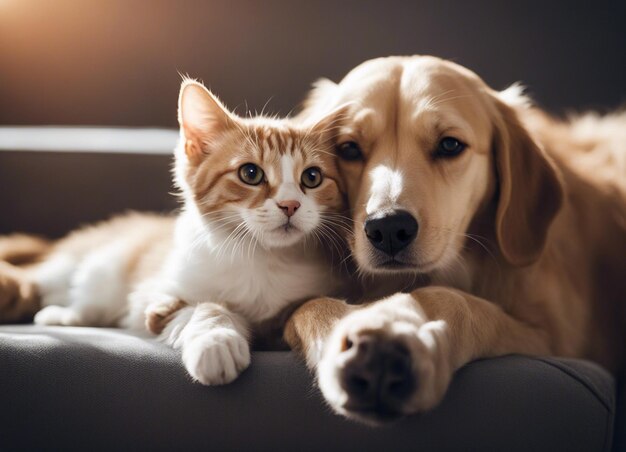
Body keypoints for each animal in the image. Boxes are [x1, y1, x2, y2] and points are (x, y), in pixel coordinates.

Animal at [2, 80, 348, 384]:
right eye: (250, 173)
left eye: (312, 177)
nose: (290, 205)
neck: (261, 258)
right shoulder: (160, 299)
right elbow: (203, 305)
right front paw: (215, 342)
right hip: (81, 266)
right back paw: (62, 314)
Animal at [284, 55, 624, 424]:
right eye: (348, 148)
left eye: (449, 145)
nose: (388, 228)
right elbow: (307, 307)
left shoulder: (550, 338)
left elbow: (458, 301)